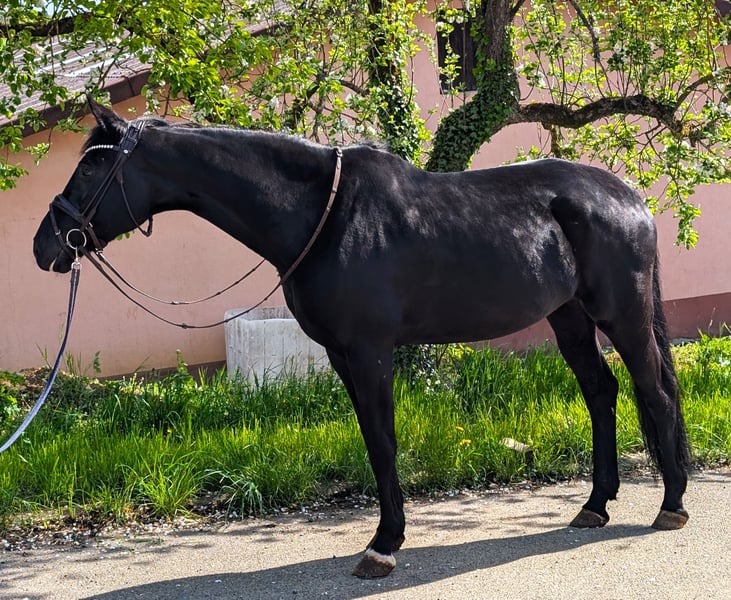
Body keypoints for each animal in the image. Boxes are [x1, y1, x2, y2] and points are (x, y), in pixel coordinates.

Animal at [33, 98, 691, 578]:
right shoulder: (341, 354)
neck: (327, 217)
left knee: (654, 393)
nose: (45, 245)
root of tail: (630, 199)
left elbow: (383, 441)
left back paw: (671, 505)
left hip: (623, 316)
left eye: (91, 165)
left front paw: (384, 545)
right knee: (602, 393)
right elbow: (374, 444)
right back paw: (594, 505)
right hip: (569, 317)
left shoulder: (370, 351)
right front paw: (385, 537)